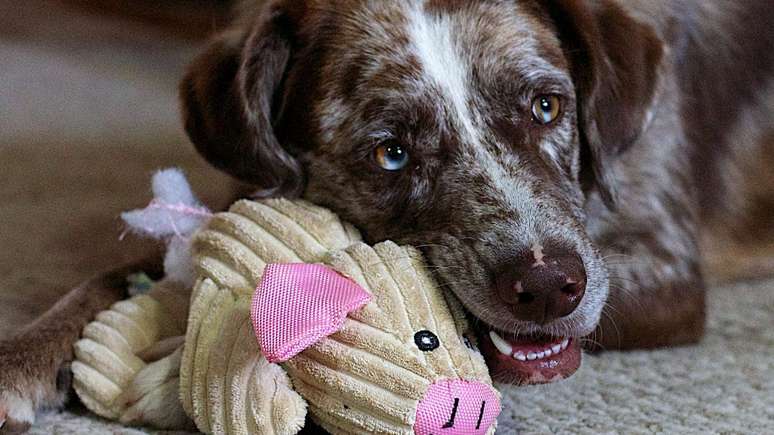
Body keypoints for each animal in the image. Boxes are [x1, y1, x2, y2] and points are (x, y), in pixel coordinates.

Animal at [1, 0, 774, 432]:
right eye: (392, 152)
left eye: (547, 106)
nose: (549, 286)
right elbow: (114, 277)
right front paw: (22, 359)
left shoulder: (665, 265)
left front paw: (174, 374)